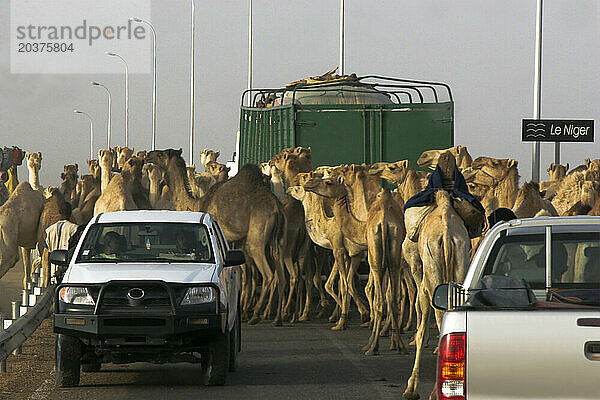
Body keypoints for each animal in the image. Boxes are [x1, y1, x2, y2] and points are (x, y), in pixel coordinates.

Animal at [144, 148, 288, 326]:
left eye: (160, 155)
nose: (147, 155)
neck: (197, 204)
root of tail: (277, 208)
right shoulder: (236, 240)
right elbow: (243, 274)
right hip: (278, 241)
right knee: (281, 273)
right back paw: (277, 317)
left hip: (257, 238)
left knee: (268, 274)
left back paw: (257, 315)